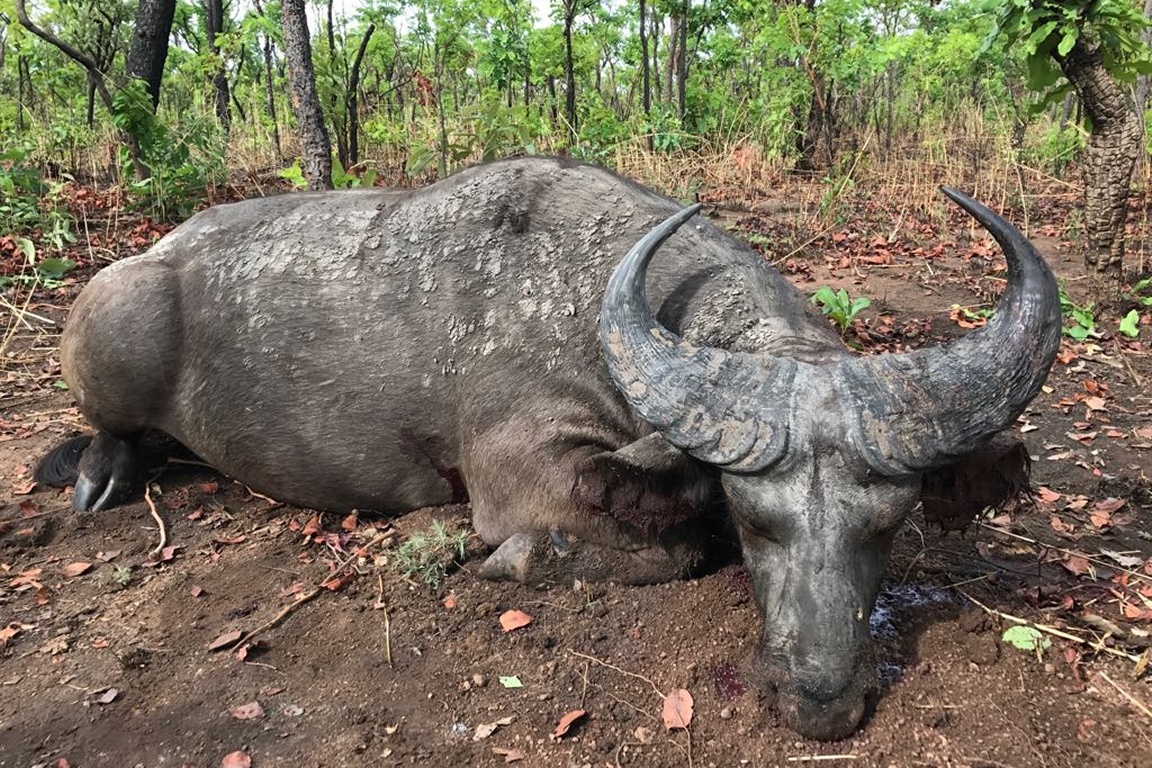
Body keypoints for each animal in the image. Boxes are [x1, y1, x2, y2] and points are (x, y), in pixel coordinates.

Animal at [36, 156, 1059, 736]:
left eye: (889, 522)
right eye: (754, 518)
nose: (822, 703)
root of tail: (153, 255)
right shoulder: (522, 481)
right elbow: (664, 542)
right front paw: (509, 560)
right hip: (109, 337)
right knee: (112, 432)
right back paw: (97, 475)